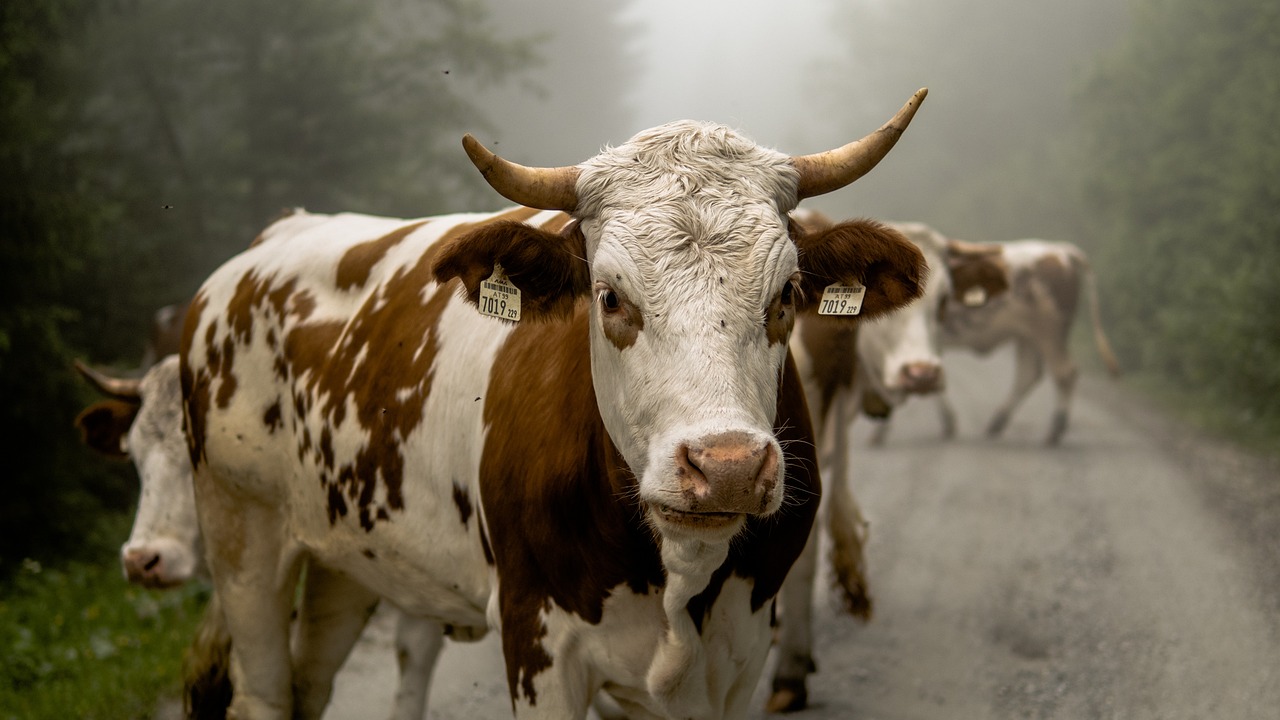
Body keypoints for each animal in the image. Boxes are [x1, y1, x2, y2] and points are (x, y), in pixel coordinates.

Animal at [180, 90, 930, 720]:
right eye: (610, 297)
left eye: (786, 295)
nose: (728, 467)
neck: (679, 578)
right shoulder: (535, 638)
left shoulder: (743, 650)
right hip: (239, 535)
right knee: (265, 693)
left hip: (345, 557)